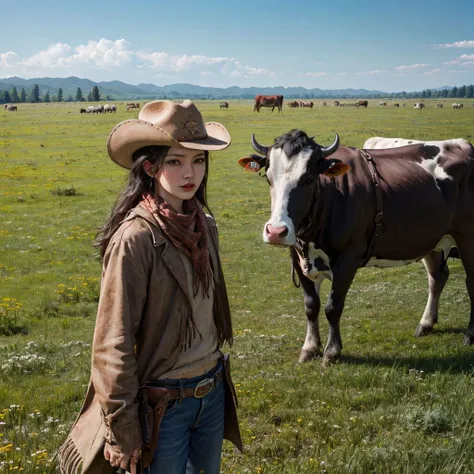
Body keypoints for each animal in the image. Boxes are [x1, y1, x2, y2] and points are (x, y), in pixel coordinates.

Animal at [241, 129, 474, 362]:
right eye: (269, 178)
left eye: (308, 179)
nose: (276, 232)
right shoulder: (298, 257)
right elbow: (311, 305)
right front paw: (310, 347)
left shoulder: (348, 258)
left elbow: (333, 306)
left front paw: (332, 351)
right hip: (432, 239)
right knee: (437, 277)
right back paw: (425, 324)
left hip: (467, 237)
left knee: (469, 282)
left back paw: (469, 335)